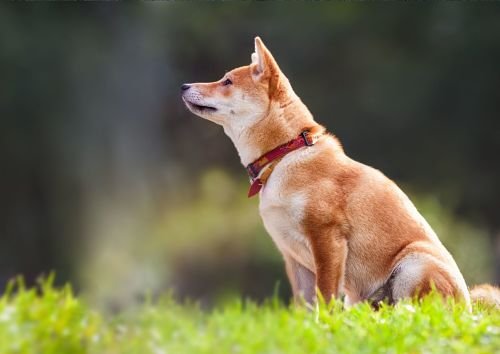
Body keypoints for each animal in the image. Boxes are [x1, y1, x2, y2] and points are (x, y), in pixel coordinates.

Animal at [182, 35, 500, 306]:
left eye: (227, 81)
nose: (184, 86)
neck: (286, 153)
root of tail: (468, 306)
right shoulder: (293, 258)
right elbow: (304, 305)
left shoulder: (327, 239)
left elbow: (325, 296)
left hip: (414, 264)